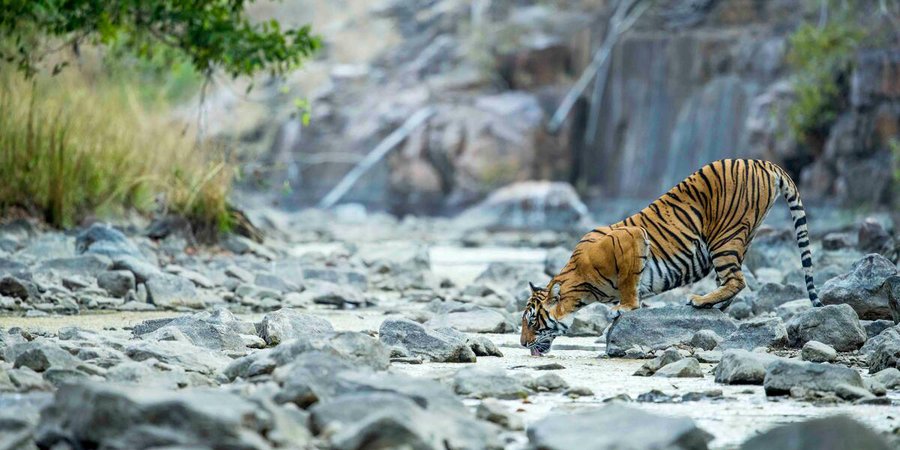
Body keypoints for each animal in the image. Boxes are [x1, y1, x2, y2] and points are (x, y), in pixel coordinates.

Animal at [520, 159, 820, 356]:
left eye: (533, 321)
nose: (522, 343)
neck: (582, 287)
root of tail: (762, 162)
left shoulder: (633, 237)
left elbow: (629, 283)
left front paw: (623, 308)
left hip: (725, 236)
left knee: (737, 280)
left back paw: (700, 301)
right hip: (741, 237)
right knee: (732, 281)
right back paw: (715, 305)